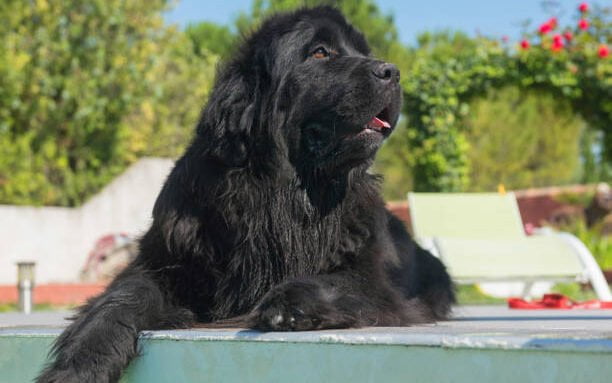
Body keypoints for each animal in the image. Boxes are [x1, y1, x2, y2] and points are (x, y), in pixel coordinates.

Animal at [37, 6, 454, 383]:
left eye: (363, 50)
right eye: (320, 52)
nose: (392, 71)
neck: (288, 193)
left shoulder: (375, 279)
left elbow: (341, 280)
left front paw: (289, 302)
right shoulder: (165, 259)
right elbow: (122, 297)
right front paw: (81, 363)